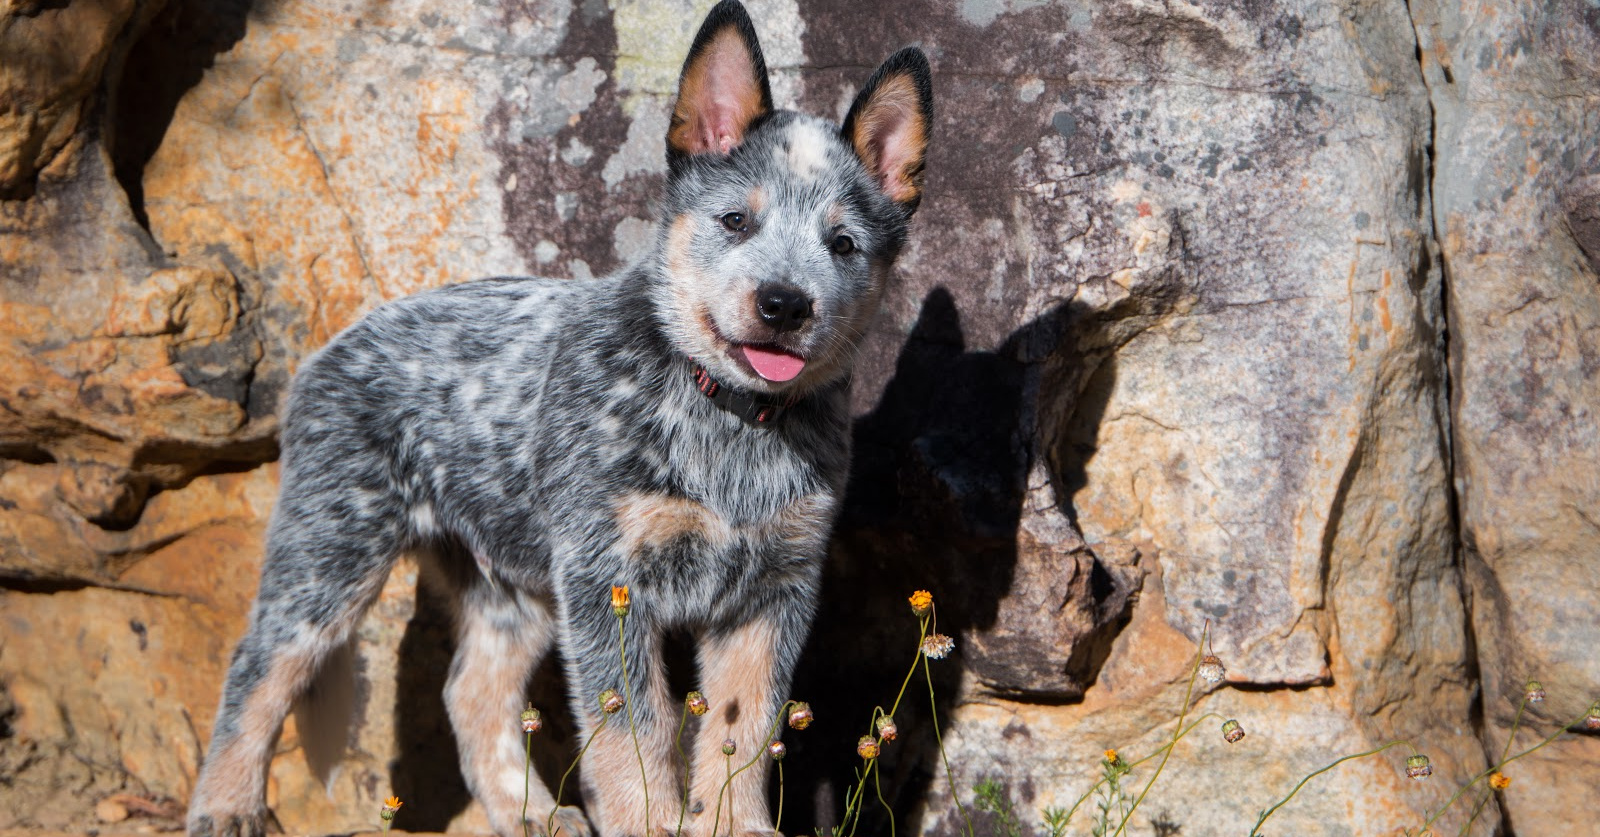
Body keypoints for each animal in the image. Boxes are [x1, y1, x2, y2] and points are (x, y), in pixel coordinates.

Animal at [185, 3, 934, 832]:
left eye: (843, 244)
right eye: (736, 221)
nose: (784, 303)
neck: (728, 420)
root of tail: (337, 342)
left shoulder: (773, 591)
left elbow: (743, 728)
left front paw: (733, 824)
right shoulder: (608, 579)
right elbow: (633, 728)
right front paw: (649, 821)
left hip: (510, 584)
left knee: (471, 693)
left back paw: (532, 815)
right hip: (332, 552)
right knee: (258, 663)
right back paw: (225, 806)